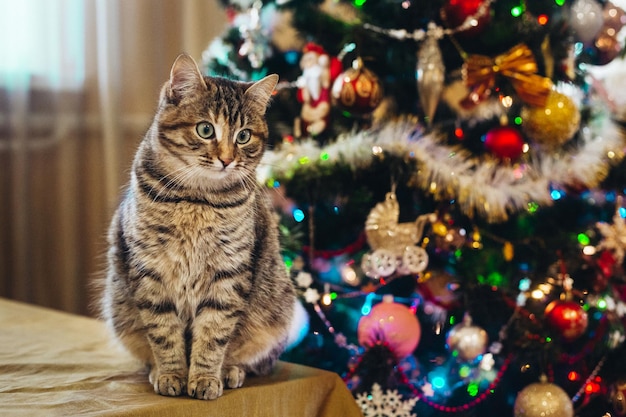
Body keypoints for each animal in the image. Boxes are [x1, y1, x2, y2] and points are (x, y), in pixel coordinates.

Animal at [101, 53, 296, 398]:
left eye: (243, 136)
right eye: (206, 130)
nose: (227, 159)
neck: (197, 200)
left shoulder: (228, 273)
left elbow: (213, 334)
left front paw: (205, 378)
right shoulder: (150, 270)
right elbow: (164, 334)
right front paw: (171, 374)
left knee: (249, 358)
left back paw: (230, 370)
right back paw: (156, 371)